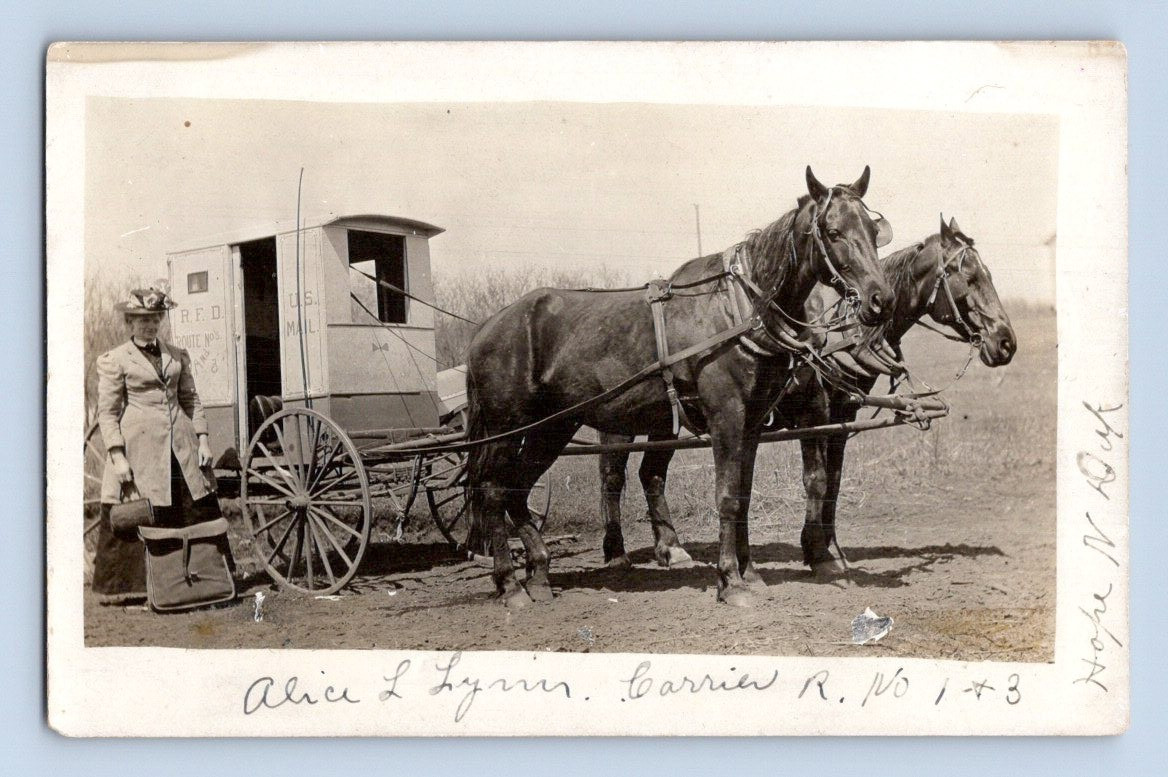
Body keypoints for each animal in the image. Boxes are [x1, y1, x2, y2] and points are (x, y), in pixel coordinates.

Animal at [464, 166, 894, 608]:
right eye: (833, 231)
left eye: (871, 230)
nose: (881, 299)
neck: (737, 308)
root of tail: (486, 329)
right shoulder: (726, 416)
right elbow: (727, 496)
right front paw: (731, 581)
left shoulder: (753, 423)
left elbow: (742, 494)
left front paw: (750, 573)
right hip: (506, 429)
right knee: (493, 490)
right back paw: (511, 584)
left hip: (551, 428)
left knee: (517, 489)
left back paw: (538, 574)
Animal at [595, 215, 1016, 578]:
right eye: (970, 277)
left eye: (990, 275)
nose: (1006, 342)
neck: (840, 334)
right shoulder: (814, 413)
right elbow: (816, 480)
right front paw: (816, 551)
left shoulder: (841, 416)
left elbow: (834, 482)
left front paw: (832, 549)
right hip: (621, 419)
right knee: (613, 476)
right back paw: (616, 553)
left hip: (664, 419)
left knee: (651, 473)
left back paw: (670, 548)